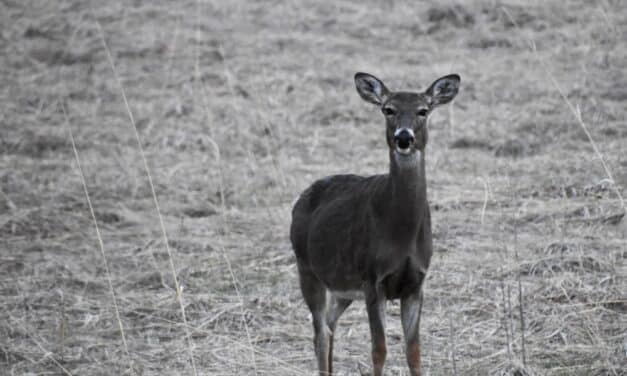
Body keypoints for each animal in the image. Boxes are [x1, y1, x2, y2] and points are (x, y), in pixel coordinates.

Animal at [290, 72, 462, 374]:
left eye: (423, 110)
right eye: (388, 109)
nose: (403, 137)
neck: (401, 232)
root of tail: (300, 199)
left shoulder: (416, 283)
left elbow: (414, 351)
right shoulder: (373, 279)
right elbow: (379, 350)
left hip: (343, 285)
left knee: (330, 325)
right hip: (307, 267)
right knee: (320, 332)